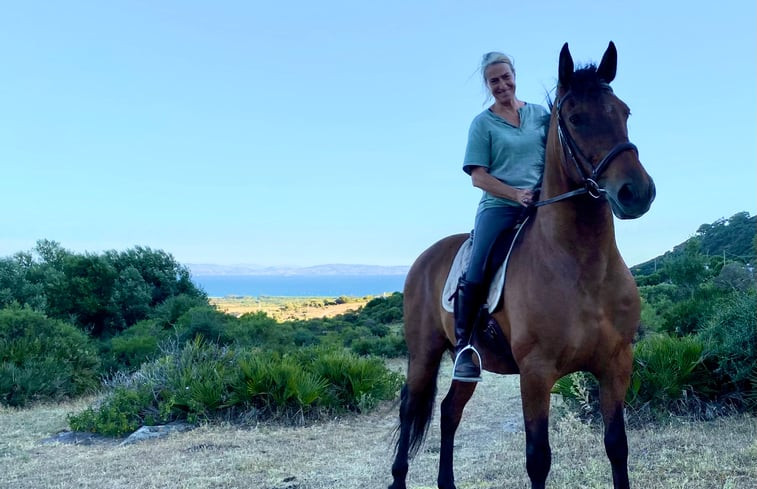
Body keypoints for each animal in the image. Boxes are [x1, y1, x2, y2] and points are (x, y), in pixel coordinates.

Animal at [386, 42, 652, 488]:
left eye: (624, 111)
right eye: (576, 118)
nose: (637, 192)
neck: (583, 268)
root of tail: (426, 258)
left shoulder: (616, 365)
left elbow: (618, 446)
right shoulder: (536, 373)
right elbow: (538, 458)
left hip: (466, 364)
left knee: (448, 411)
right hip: (423, 354)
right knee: (411, 410)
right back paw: (398, 477)